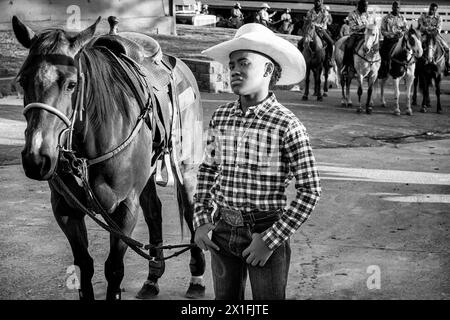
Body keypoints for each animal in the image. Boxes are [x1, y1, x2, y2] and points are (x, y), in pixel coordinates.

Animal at [11, 15, 206, 300]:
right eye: (23, 81)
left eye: (71, 84)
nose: (37, 157)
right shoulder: (66, 210)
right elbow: (84, 265)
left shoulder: (124, 210)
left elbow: (114, 269)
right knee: (154, 212)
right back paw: (152, 278)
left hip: (187, 166)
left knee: (191, 210)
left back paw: (197, 277)